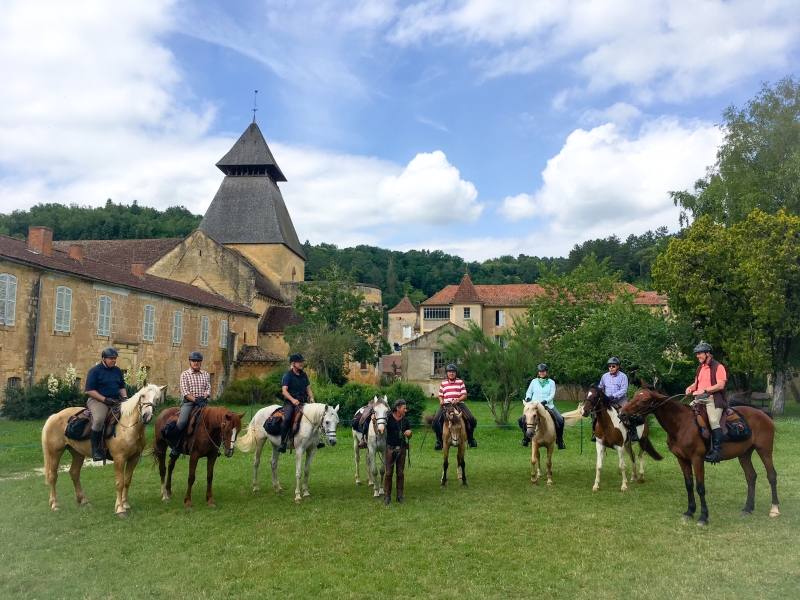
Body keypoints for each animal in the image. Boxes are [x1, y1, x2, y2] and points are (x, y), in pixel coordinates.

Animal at [42, 384, 166, 516]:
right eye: (142, 396)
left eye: (157, 398)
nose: (147, 416)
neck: (127, 427)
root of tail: (55, 416)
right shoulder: (119, 459)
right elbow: (120, 483)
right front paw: (120, 509)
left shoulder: (134, 458)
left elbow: (127, 481)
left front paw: (125, 504)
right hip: (55, 453)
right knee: (53, 476)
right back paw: (55, 504)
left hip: (77, 453)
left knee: (74, 473)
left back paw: (84, 501)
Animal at [620, 384, 780, 524]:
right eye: (635, 395)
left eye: (643, 400)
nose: (622, 413)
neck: (681, 424)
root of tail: (762, 413)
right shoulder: (682, 460)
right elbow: (689, 485)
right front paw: (690, 511)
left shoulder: (697, 459)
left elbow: (700, 487)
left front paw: (703, 517)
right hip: (744, 454)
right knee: (751, 477)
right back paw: (748, 508)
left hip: (765, 451)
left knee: (771, 475)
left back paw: (774, 509)